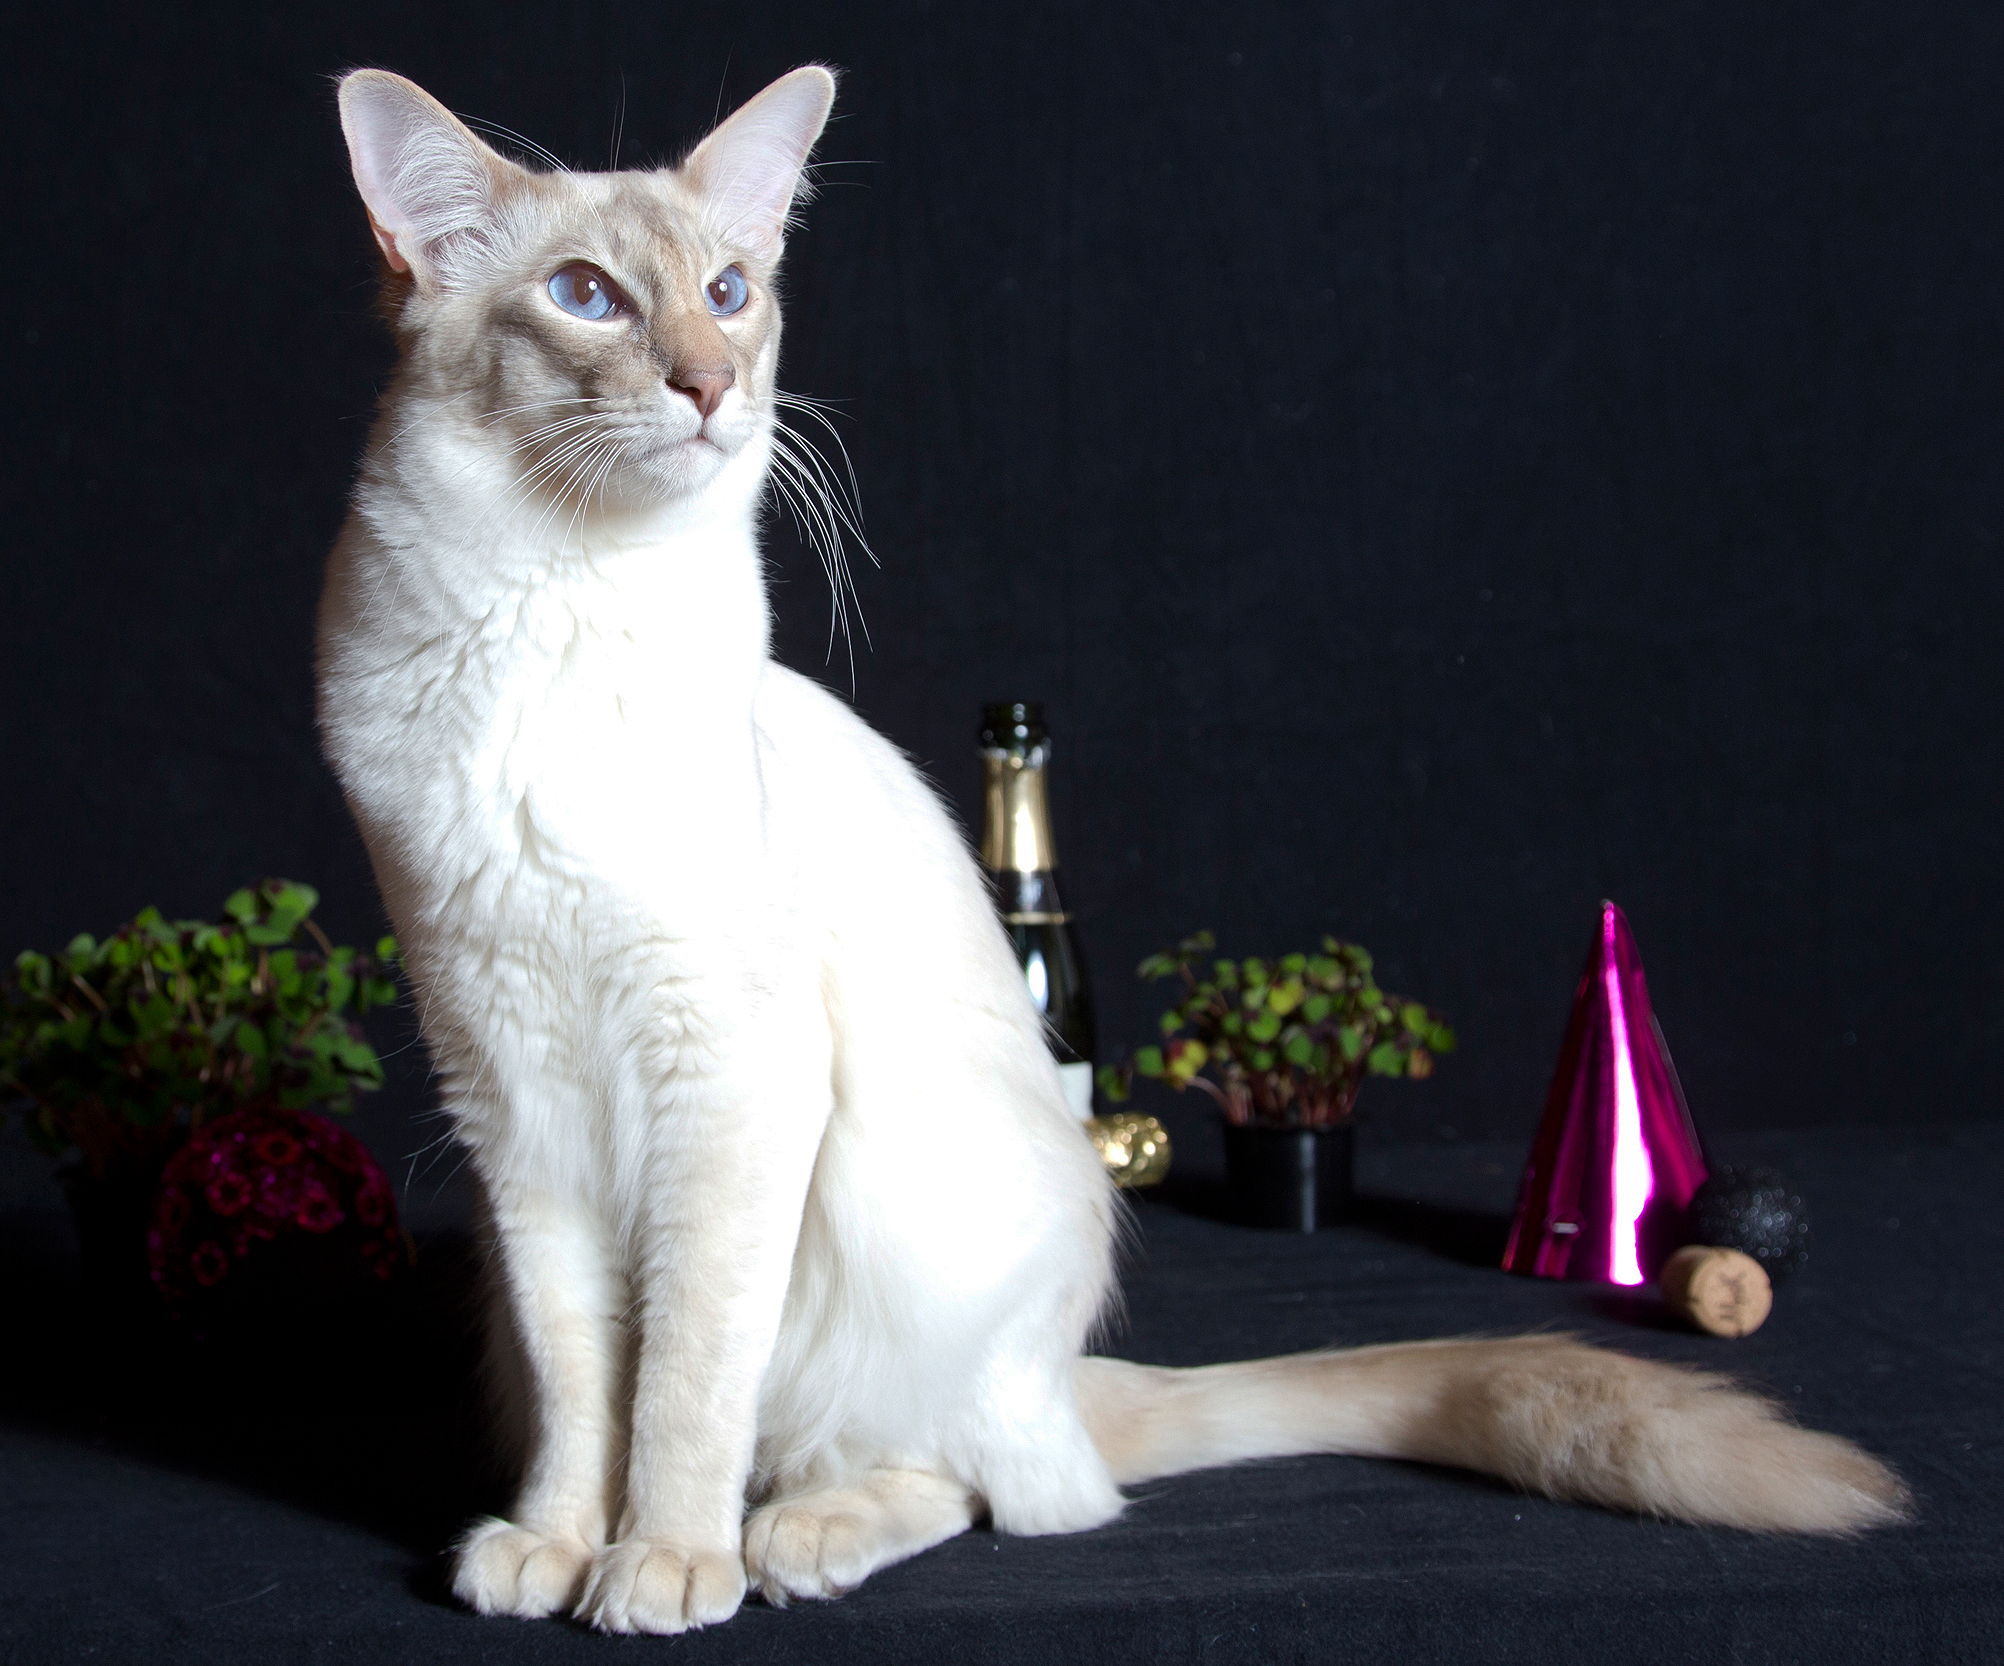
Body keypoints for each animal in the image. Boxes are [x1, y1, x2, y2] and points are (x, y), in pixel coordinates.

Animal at [316, 68, 1907, 1643]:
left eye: (727, 292)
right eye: (585, 296)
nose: (710, 387)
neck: (549, 611)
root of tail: (1065, 1373)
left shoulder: (726, 1081)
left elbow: (686, 1383)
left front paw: (660, 1562)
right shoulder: (514, 1103)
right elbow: (590, 1384)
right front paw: (553, 1544)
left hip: (894, 1215)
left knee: (997, 1485)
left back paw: (791, 1537)